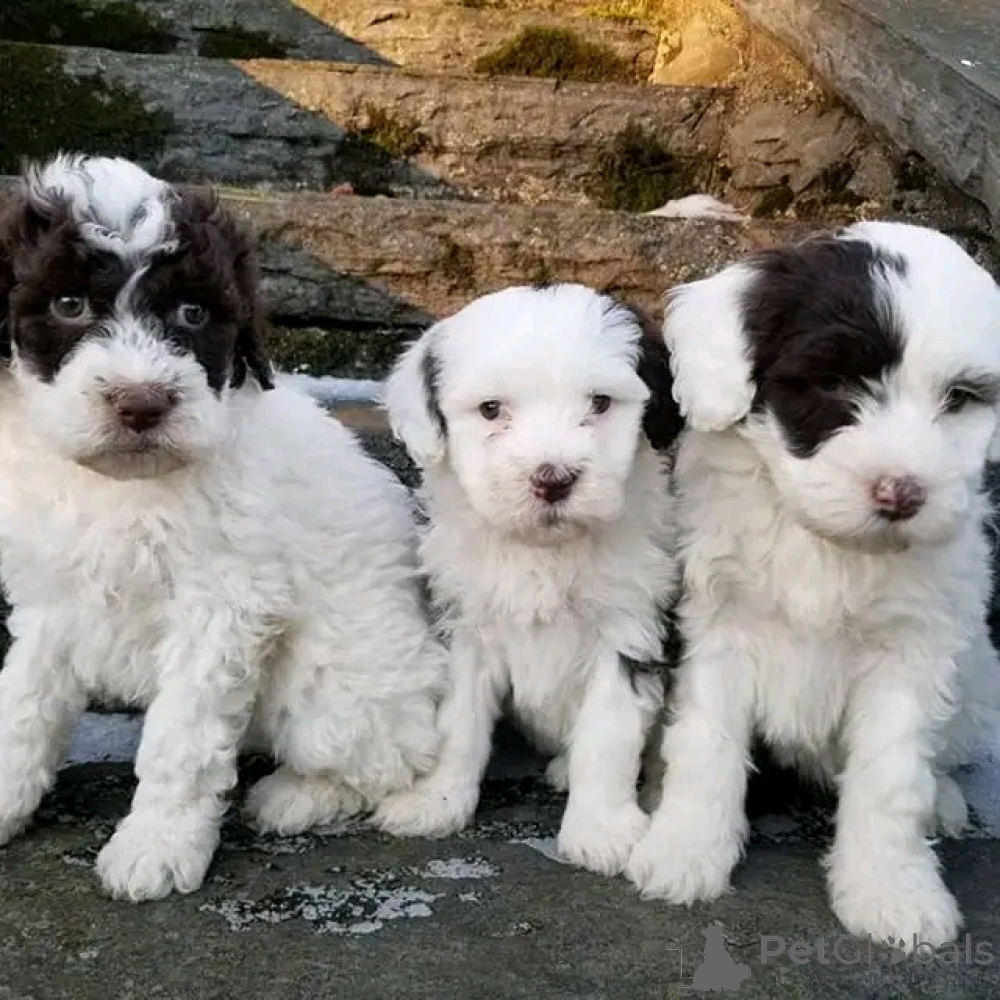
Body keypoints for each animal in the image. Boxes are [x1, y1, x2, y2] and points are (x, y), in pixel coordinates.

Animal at [0, 155, 445, 901]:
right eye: (68, 305)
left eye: (192, 313)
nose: (142, 403)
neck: (122, 486)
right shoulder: (50, 594)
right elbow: (24, 700)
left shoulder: (222, 603)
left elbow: (181, 736)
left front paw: (156, 845)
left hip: (334, 678)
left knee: (391, 756)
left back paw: (296, 797)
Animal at [373, 284, 683, 874]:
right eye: (492, 410)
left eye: (600, 403)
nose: (553, 478)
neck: (543, 550)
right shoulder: (465, 627)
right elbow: (457, 723)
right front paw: (435, 801)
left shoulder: (629, 624)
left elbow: (608, 732)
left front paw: (600, 829)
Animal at [626, 221, 1000, 948]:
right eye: (832, 382)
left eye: (961, 400)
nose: (901, 493)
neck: (826, 542)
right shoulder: (720, 627)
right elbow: (705, 743)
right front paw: (684, 851)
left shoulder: (911, 653)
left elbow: (893, 775)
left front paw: (893, 892)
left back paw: (944, 803)